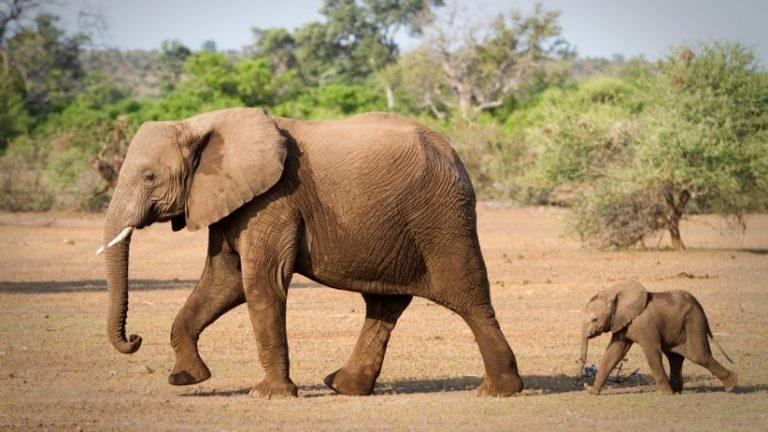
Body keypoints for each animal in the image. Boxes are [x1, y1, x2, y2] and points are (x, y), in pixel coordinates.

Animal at [100, 108, 520, 398]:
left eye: (149, 177)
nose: (134, 338)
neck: (202, 124)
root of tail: (455, 155)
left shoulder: (274, 200)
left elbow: (261, 284)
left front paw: (268, 395)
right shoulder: (232, 200)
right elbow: (224, 281)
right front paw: (186, 378)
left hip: (442, 218)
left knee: (468, 297)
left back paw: (498, 391)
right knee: (385, 304)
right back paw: (343, 386)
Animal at [580, 280, 736, 394]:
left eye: (594, 319)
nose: (583, 380)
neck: (614, 293)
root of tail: (700, 307)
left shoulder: (646, 324)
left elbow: (651, 352)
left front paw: (665, 393)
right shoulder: (622, 322)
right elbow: (614, 352)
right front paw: (592, 392)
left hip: (694, 321)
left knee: (698, 355)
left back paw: (731, 386)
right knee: (675, 356)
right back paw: (677, 391)